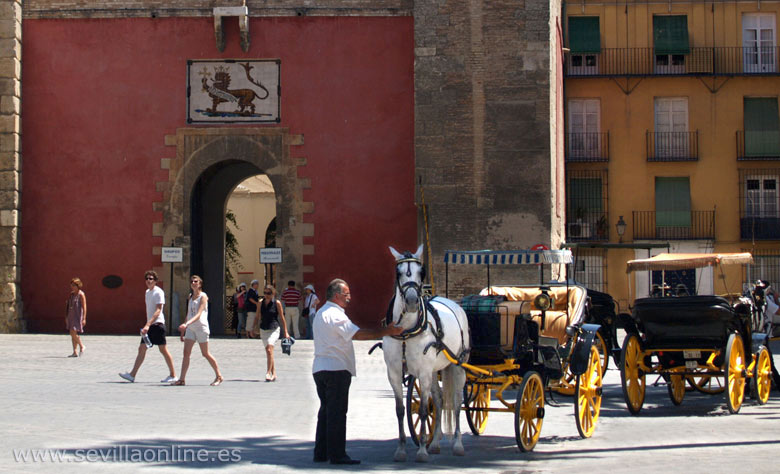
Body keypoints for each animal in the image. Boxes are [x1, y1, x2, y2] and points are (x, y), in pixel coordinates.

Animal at [384, 246, 470, 462]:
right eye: (398, 273)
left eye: (421, 272)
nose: (412, 301)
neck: (405, 331)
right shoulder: (394, 372)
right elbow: (400, 410)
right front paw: (401, 449)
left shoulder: (422, 372)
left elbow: (423, 410)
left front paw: (422, 449)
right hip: (433, 370)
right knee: (438, 401)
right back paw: (436, 443)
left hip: (458, 365)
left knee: (456, 402)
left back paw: (457, 444)